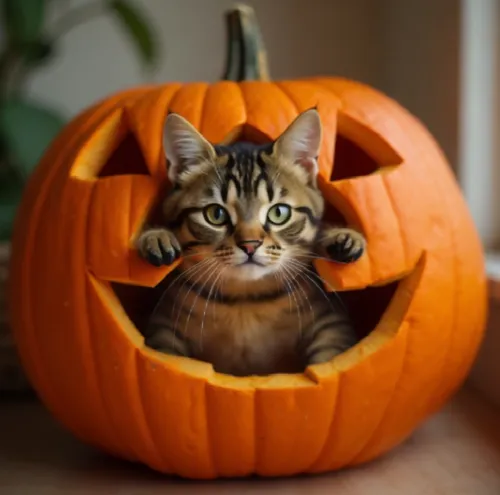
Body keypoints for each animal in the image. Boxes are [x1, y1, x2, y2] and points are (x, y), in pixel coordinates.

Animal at [135, 109, 366, 376]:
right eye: (216, 214)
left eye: (279, 213)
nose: (250, 245)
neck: (245, 300)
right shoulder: (163, 327)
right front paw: (156, 237)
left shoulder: (332, 323)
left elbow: (329, 358)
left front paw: (341, 238)